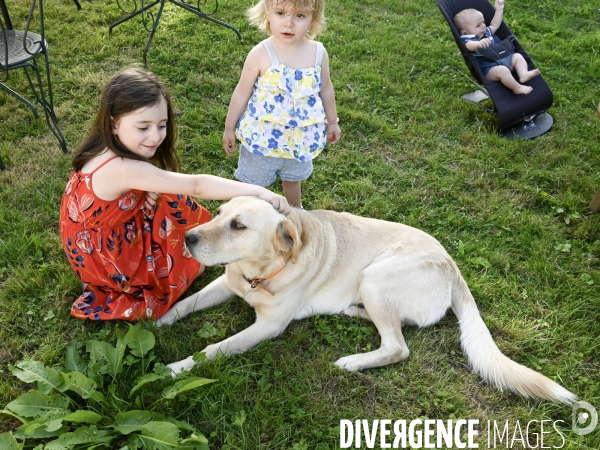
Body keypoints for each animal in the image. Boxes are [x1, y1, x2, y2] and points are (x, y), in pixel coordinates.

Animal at [156, 196, 576, 400]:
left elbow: (213, 349)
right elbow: (185, 304)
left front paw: (174, 369)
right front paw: (158, 320)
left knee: (398, 347)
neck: (258, 274)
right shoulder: (227, 283)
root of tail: (452, 265)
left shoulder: (268, 327)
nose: (189, 238)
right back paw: (352, 312)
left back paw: (352, 362)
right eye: (220, 212)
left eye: (239, 226)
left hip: (375, 277)